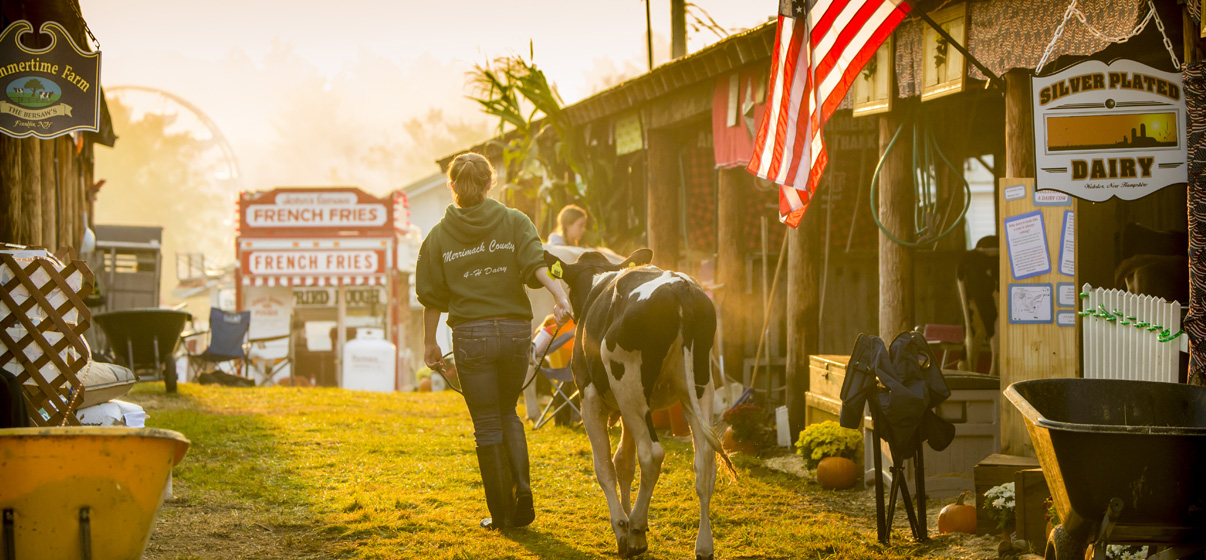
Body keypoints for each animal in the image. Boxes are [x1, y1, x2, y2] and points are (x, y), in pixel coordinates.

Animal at [547, 248, 733, 560]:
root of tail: (680, 287)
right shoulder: (629, 409)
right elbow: (623, 461)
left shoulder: (589, 397)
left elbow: (604, 466)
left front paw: (621, 526)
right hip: (696, 386)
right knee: (705, 460)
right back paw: (704, 545)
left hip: (629, 385)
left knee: (652, 454)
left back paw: (634, 529)